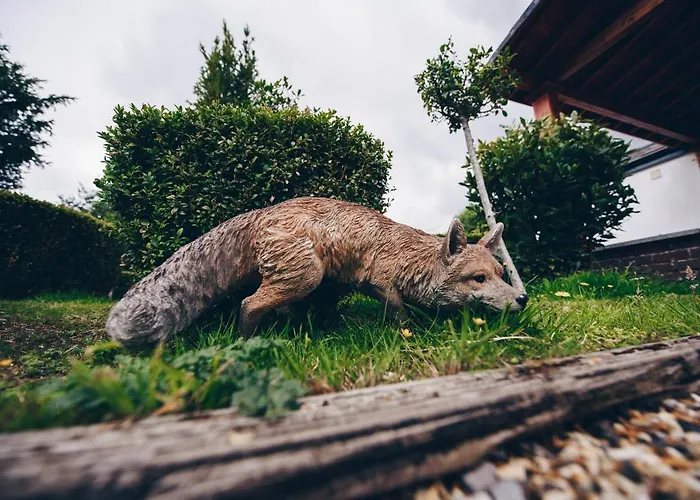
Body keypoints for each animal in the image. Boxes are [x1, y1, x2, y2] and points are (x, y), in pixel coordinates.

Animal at [106, 197, 527, 347]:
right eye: (479, 278)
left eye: (502, 273)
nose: (522, 299)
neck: (408, 256)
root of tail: (262, 212)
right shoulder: (381, 281)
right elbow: (398, 311)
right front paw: (406, 332)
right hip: (304, 274)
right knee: (248, 304)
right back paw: (246, 346)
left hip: (312, 280)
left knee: (287, 309)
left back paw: (302, 332)